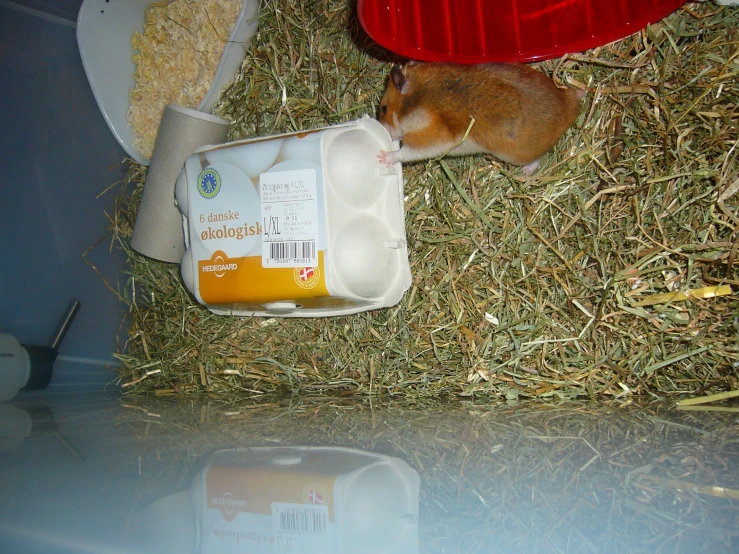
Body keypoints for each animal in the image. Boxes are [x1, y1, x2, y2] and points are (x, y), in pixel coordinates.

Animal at [378, 60, 588, 174]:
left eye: (383, 109)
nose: (385, 131)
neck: (421, 98)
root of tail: (570, 109)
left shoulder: (429, 140)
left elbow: (404, 153)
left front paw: (382, 157)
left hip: (515, 155)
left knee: (539, 159)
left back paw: (524, 172)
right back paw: (582, 91)